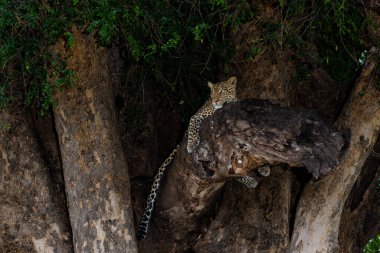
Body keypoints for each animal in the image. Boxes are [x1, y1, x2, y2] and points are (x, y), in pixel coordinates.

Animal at [137, 77, 270, 241]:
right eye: (212, 92)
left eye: (222, 91)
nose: (214, 100)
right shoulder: (197, 117)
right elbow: (194, 126)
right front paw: (191, 144)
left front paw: (264, 166)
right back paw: (250, 180)